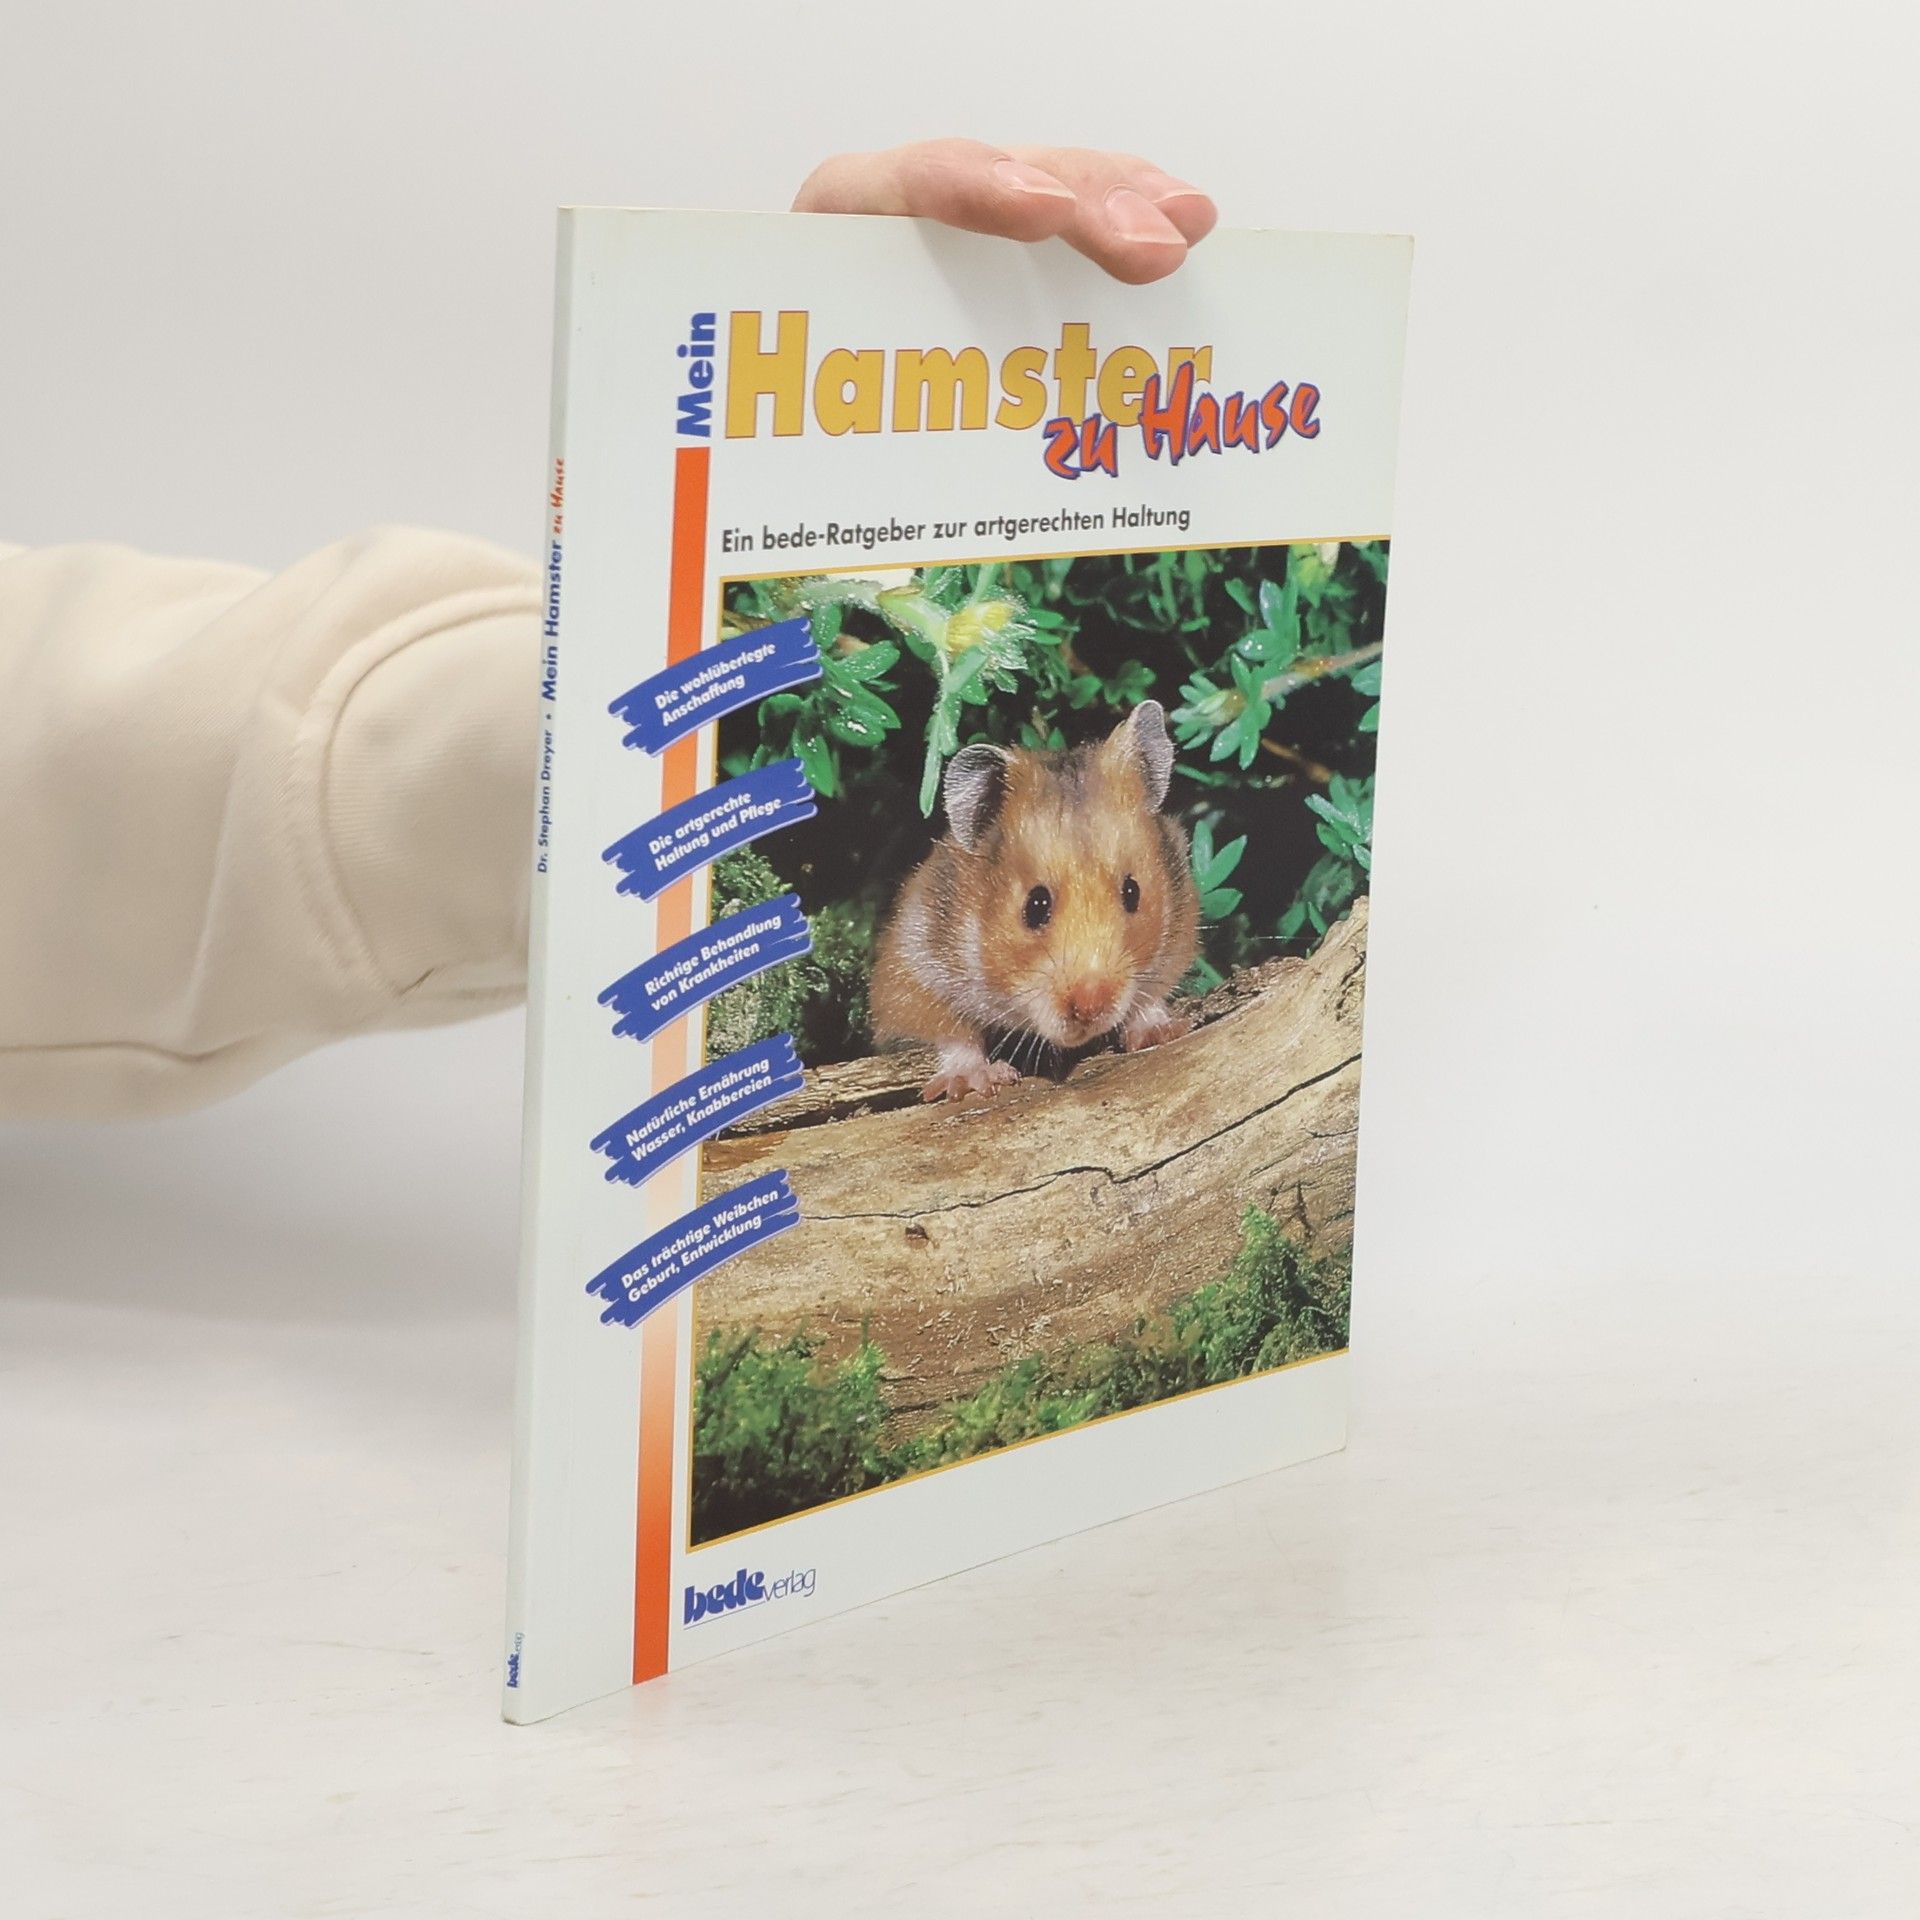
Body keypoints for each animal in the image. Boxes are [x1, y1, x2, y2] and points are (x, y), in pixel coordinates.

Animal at [871, 700, 1200, 1102]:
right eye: (1035, 905)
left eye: (1132, 892)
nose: (1091, 1008)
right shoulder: (911, 968)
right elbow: (948, 1032)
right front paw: (974, 1081)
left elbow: (1151, 995)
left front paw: (1161, 1032)